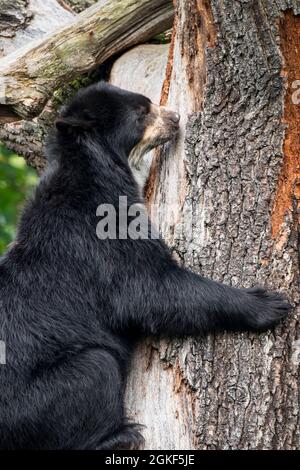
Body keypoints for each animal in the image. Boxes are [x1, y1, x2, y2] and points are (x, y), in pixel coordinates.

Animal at [0, 82, 292, 450]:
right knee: (95, 368)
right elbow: (147, 288)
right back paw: (120, 435)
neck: (93, 168)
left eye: (149, 101)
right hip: (37, 403)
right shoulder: (101, 231)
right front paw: (268, 303)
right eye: (141, 113)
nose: (175, 117)